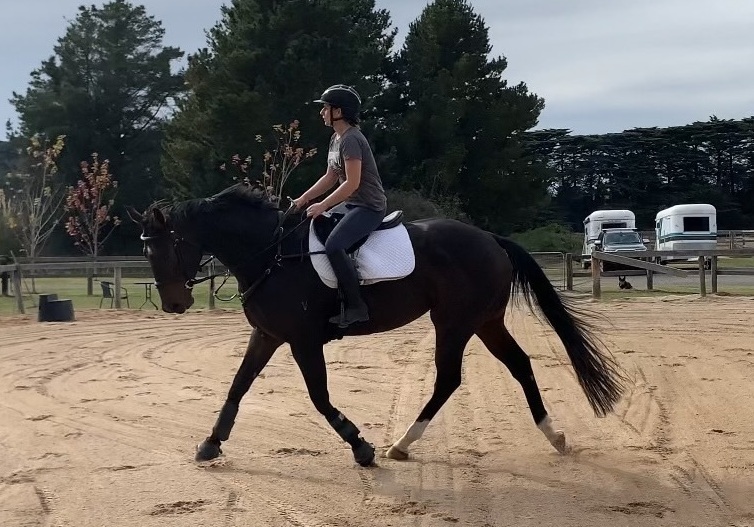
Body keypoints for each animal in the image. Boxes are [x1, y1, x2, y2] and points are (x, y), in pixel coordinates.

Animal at [127, 181, 626, 467]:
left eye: (165, 247)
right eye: (146, 249)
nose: (174, 304)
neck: (271, 254)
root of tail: (488, 238)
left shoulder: (303, 340)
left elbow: (319, 397)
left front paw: (360, 447)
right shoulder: (267, 335)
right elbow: (237, 386)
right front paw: (211, 444)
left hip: (454, 322)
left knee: (449, 377)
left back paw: (401, 443)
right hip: (484, 320)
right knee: (519, 364)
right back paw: (553, 435)